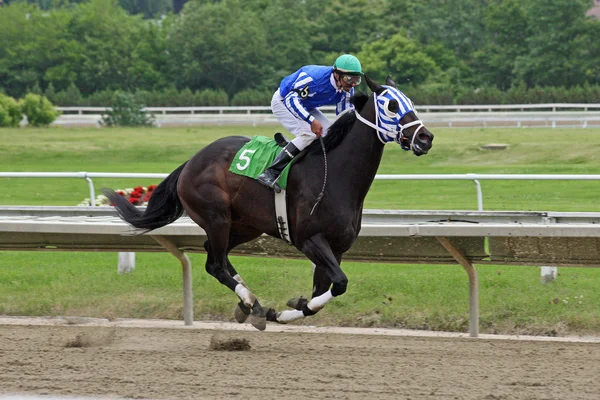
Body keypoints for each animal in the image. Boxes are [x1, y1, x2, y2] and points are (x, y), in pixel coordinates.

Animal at [102, 74, 432, 328]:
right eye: (391, 104)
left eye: (410, 102)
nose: (425, 138)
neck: (338, 175)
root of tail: (191, 161)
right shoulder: (309, 239)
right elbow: (339, 284)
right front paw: (280, 311)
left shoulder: (336, 248)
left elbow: (321, 293)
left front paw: (286, 309)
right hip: (217, 217)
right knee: (215, 264)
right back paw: (250, 301)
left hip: (246, 225)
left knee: (216, 255)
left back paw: (252, 305)